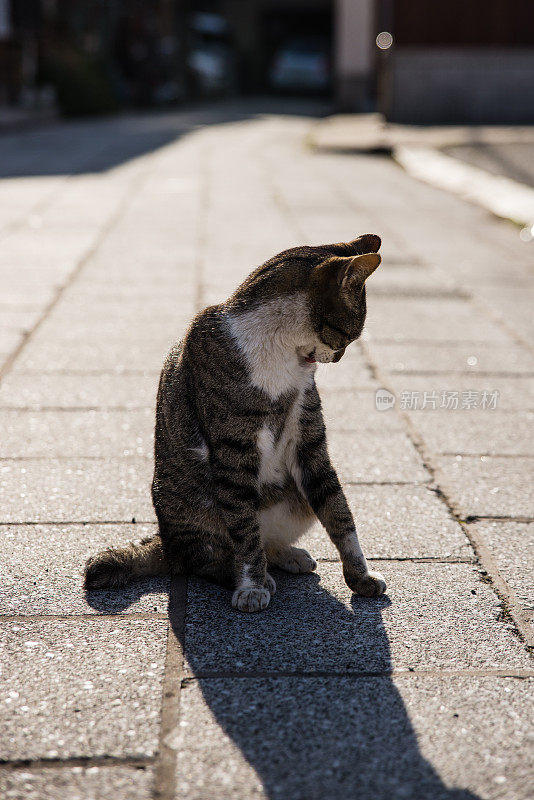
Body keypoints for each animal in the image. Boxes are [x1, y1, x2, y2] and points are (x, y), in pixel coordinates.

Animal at [84, 233, 388, 612]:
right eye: (347, 335)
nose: (341, 356)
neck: (281, 351)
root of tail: (166, 543)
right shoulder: (234, 449)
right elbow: (244, 528)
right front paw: (252, 586)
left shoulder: (310, 444)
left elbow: (338, 510)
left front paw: (361, 576)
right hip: (196, 511)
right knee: (207, 557)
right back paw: (244, 571)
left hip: (296, 499)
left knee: (270, 537)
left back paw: (288, 555)